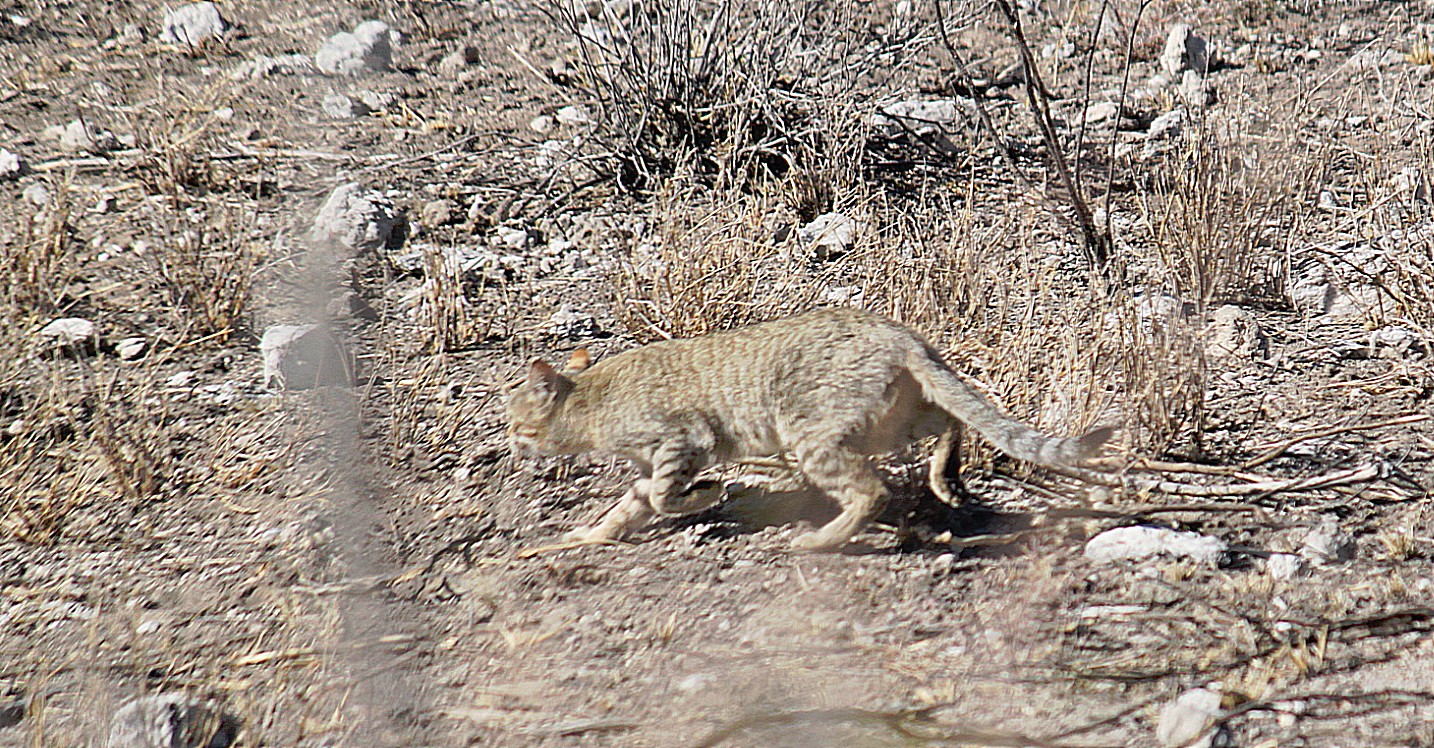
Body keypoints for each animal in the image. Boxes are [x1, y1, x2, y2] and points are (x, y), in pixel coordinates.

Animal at [510, 303, 1112, 547]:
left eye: (518, 427)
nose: (512, 448)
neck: (590, 404)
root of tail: (902, 335)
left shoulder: (683, 442)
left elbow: (661, 497)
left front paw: (709, 493)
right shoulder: (652, 465)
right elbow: (630, 505)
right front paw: (591, 534)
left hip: (813, 435)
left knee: (872, 490)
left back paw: (818, 542)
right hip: (886, 419)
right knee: (950, 419)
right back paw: (945, 479)